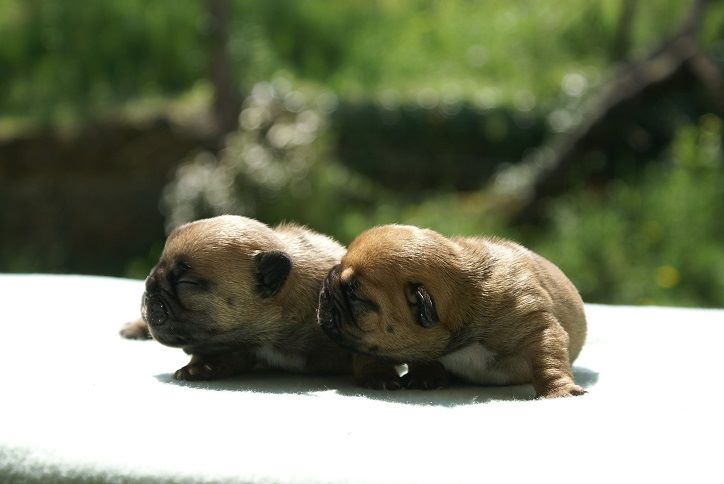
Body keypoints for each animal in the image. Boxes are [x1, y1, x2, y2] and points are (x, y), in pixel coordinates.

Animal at [318, 224, 588, 398]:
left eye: (354, 293)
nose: (325, 286)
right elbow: (369, 355)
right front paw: (382, 376)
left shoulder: (534, 325)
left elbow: (547, 358)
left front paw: (559, 391)